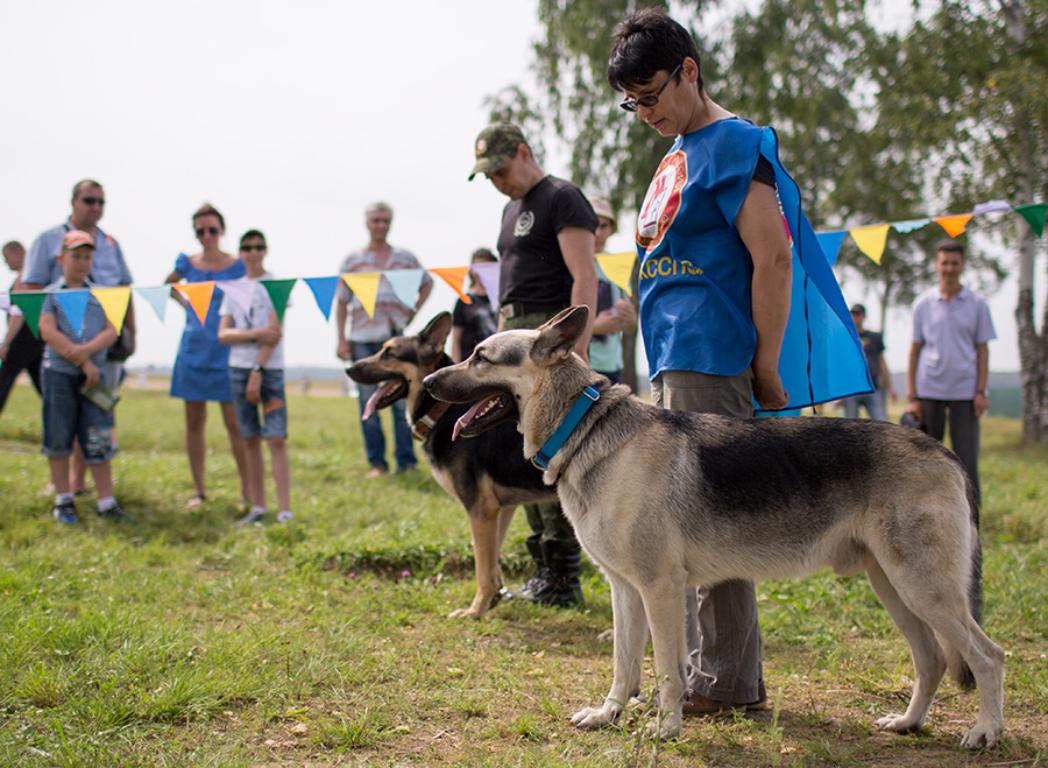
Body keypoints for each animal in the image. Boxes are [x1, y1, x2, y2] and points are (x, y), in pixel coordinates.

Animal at [423, 305, 1006, 750]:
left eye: (480, 356)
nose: (427, 381)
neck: (582, 427)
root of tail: (944, 452)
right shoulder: (624, 591)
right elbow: (623, 665)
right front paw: (610, 714)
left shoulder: (660, 591)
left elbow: (666, 670)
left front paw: (666, 728)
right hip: (895, 589)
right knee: (932, 659)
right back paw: (909, 722)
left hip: (924, 590)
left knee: (988, 656)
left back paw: (985, 732)